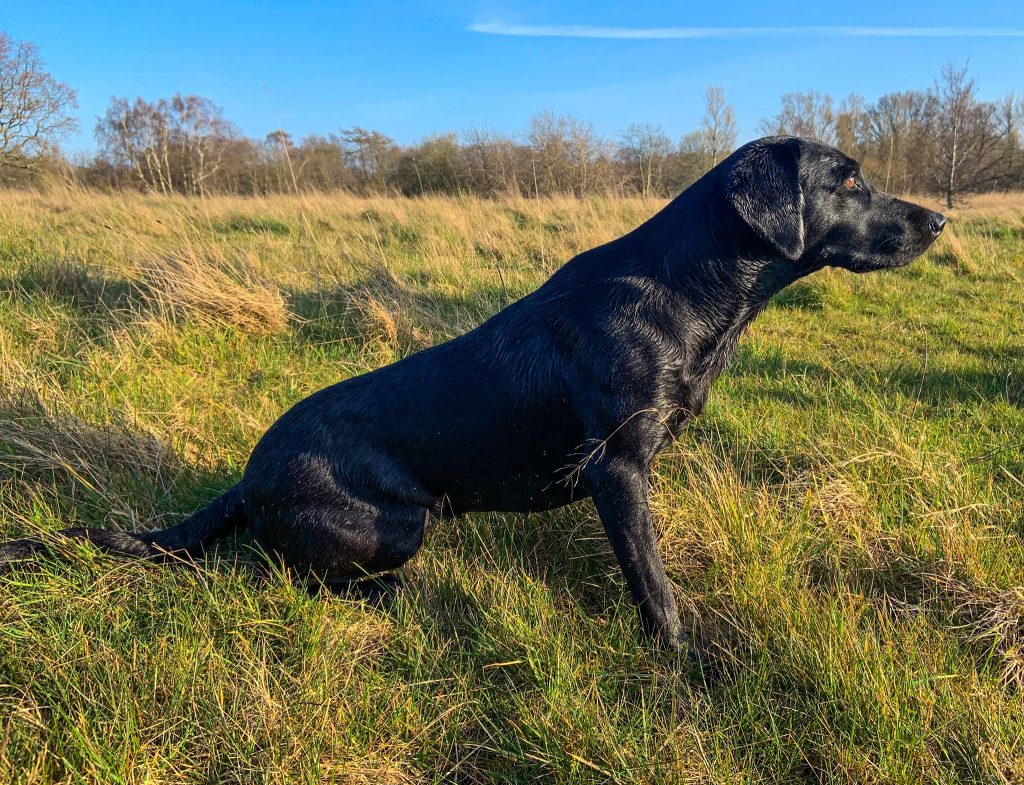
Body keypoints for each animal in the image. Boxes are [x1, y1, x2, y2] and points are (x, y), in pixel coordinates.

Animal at [0, 137, 942, 650]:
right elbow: (655, 586)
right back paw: (390, 596)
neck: (692, 288)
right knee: (285, 573)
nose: (940, 219)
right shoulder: (618, 470)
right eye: (846, 180)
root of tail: (247, 477)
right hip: (396, 523)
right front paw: (686, 665)